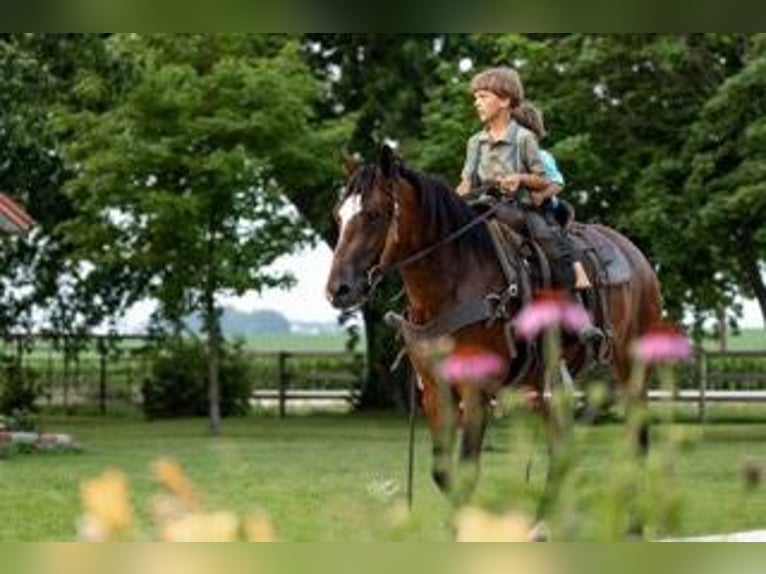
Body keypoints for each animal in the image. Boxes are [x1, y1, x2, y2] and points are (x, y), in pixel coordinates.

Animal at [325, 146, 663, 512]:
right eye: (339, 216)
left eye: (374, 214)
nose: (338, 290)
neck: (454, 281)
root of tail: (637, 257)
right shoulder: (434, 389)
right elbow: (444, 474)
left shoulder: (477, 388)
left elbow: (466, 472)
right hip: (549, 382)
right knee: (561, 450)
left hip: (632, 366)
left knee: (638, 441)